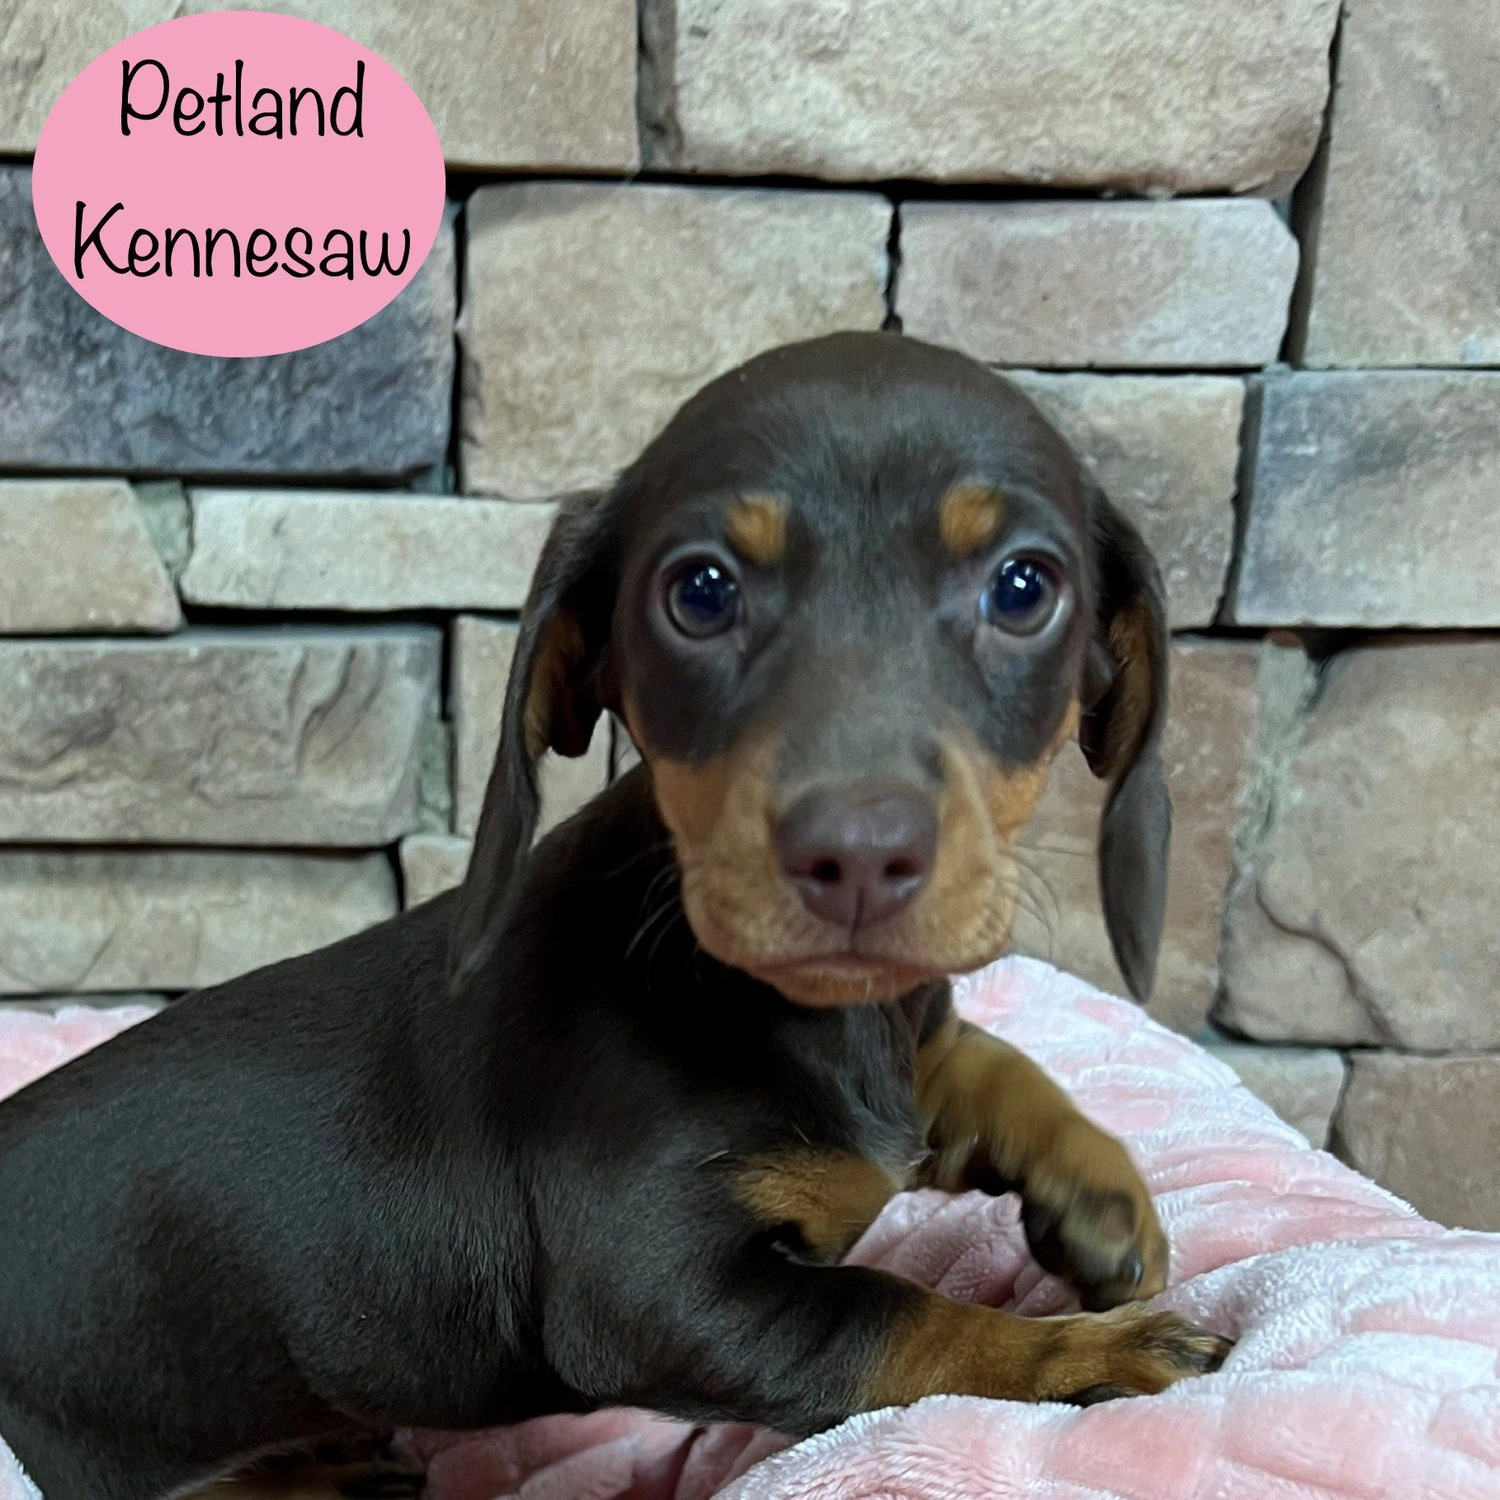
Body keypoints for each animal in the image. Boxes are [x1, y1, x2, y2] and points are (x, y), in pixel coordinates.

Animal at [0, 332, 1229, 1500]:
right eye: (701, 593)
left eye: (1024, 588)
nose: (859, 856)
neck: (766, 1001)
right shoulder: (656, 1294)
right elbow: (901, 1319)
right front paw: (1083, 1352)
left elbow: (982, 1059)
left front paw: (1098, 1189)